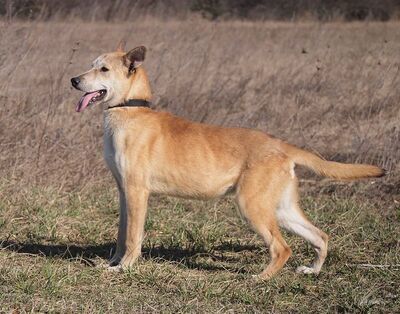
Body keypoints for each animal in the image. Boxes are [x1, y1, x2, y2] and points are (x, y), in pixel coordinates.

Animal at [71, 44, 384, 280]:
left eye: (104, 69)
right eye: (91, 65)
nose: (73, 80)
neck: (130, 109)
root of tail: (281, 145)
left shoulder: (137, 192)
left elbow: (133, 237)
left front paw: (125, 267)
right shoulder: (124, 192)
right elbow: (121, 233)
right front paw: (112, 262)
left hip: (251, 206)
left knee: (282, 248)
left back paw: (261, 278)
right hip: (281, 208)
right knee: (320, 236)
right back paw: (312, 270)